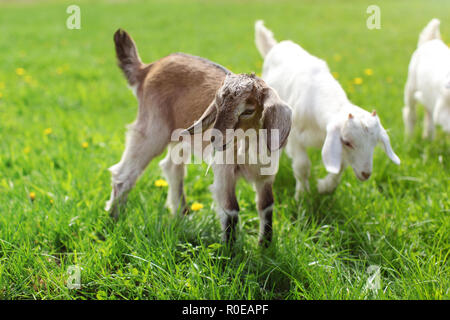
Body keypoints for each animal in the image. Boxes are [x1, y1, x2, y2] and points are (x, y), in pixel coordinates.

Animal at [255, 21, 400, 196]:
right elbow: (302, 166)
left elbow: (339, 168)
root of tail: (275, 46)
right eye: (348, 142)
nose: (366, 174)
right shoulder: (296, 137)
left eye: (375, 143)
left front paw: (324, 187)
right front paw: (302, 194)